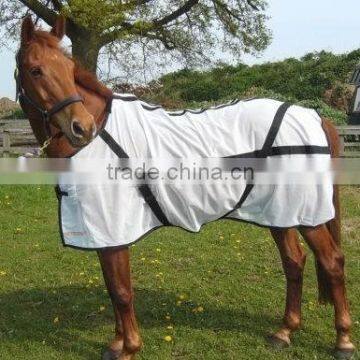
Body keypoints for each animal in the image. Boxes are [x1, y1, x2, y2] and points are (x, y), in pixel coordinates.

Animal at [15, 16, 356, 360]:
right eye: (36, 70)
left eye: (70, 69)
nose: (82, 128)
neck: (100, 137)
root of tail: (314, 117)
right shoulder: (104, 233)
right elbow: (112, 288)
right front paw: (116, 343)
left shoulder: (113, 228)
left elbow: (122, 291)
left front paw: (129, 348)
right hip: (280, 213)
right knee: (294, 263)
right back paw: (284, 332)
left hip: (306, 216)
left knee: (332, 262)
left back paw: (343, 340)